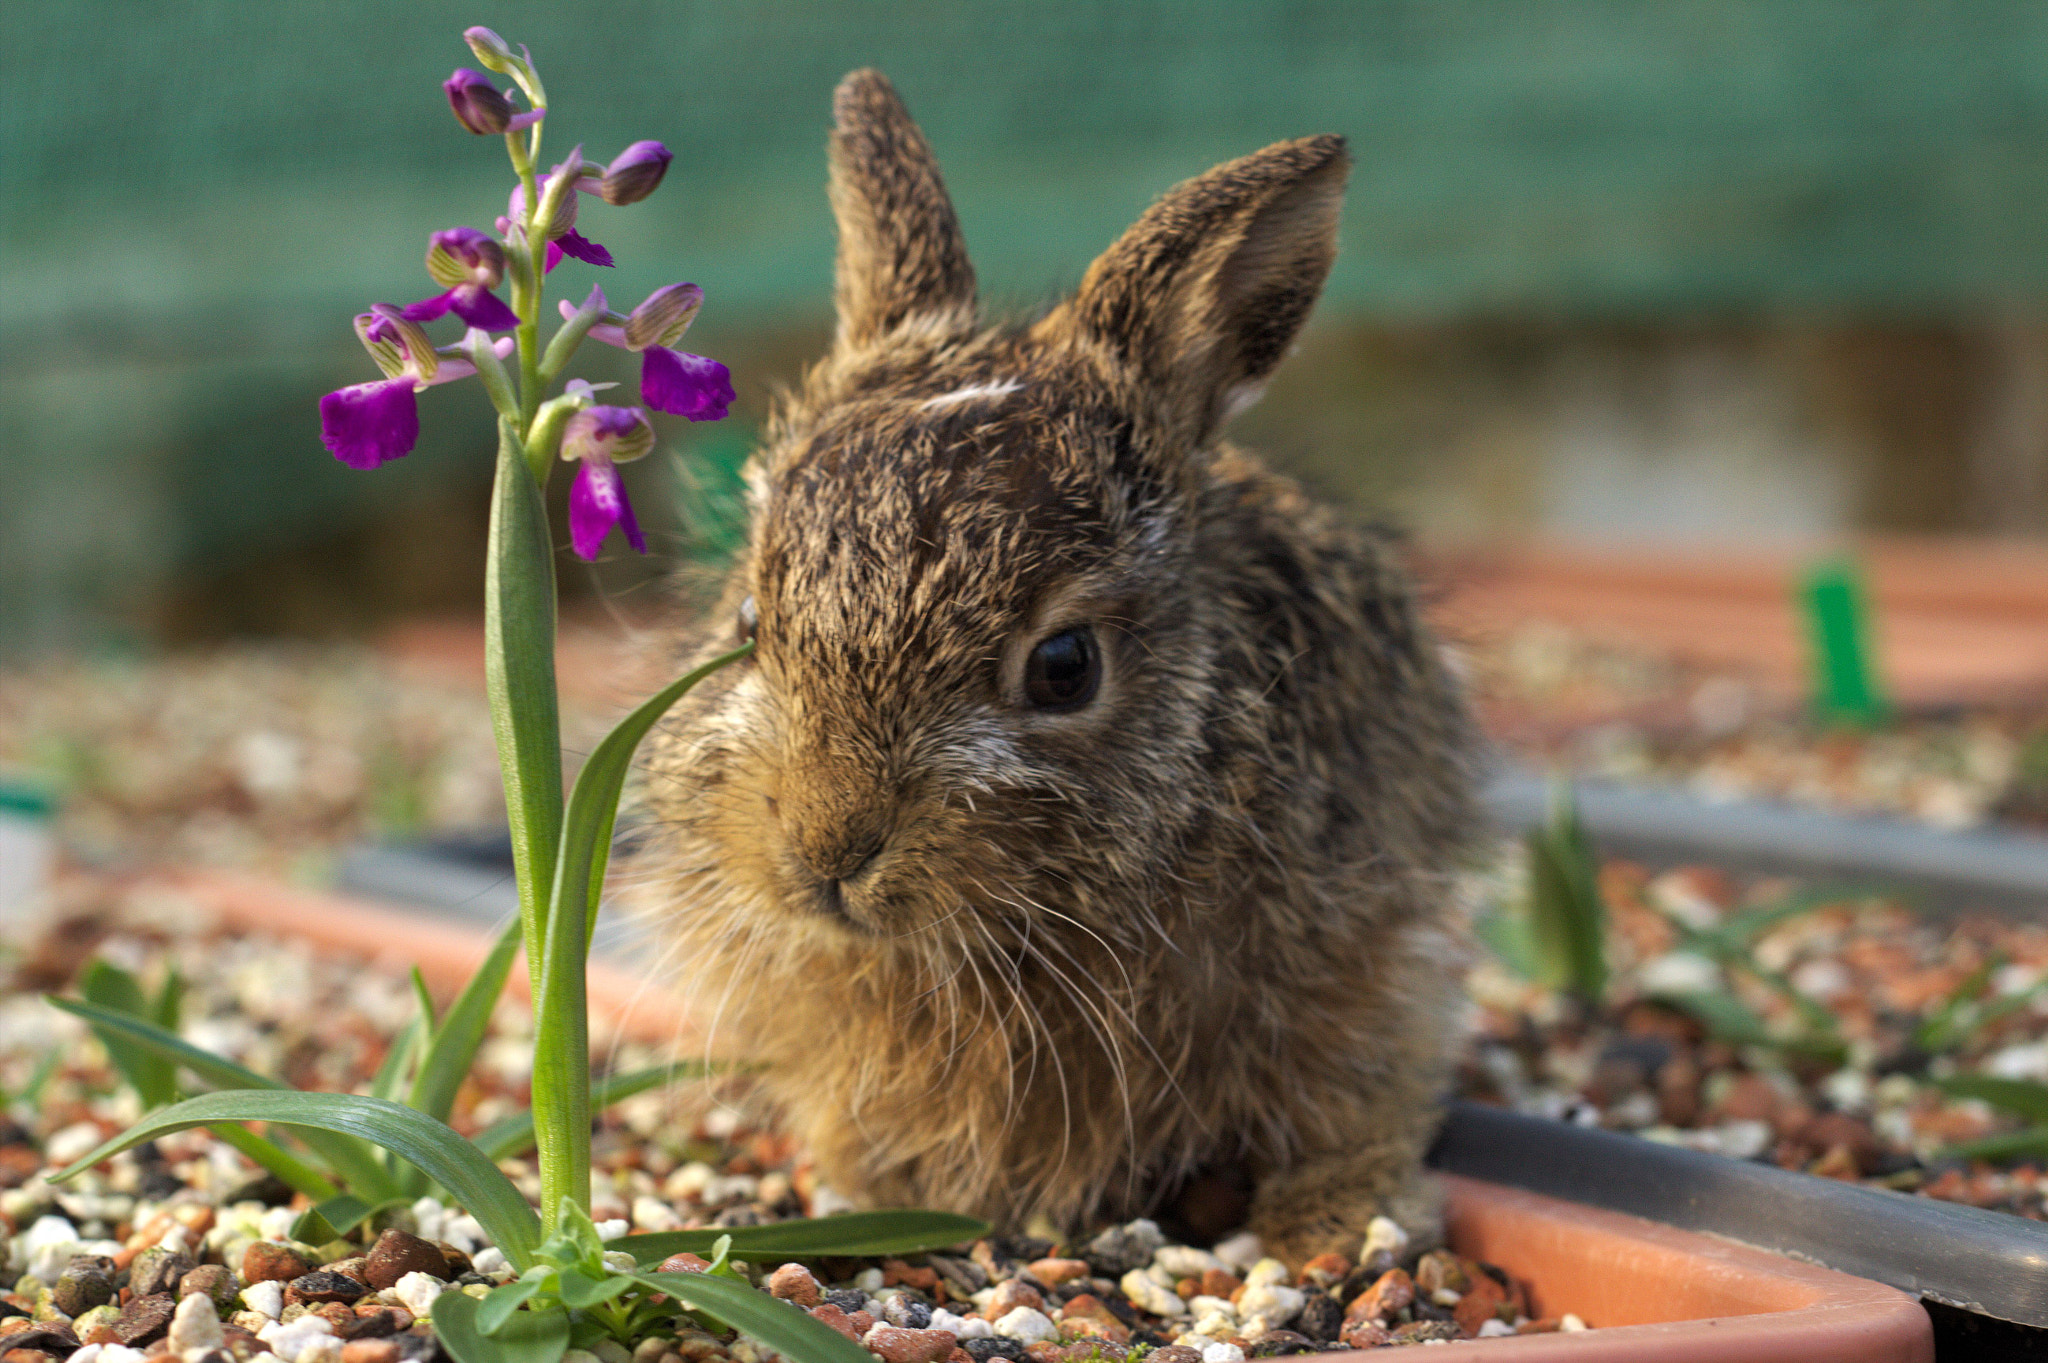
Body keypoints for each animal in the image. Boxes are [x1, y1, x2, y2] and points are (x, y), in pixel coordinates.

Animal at [630, 69, 1482, 1260]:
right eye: (751, 621)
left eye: (1065, 667)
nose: (826, 845)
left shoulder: (1367, 947)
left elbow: (1353, 1101)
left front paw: (1341, 1220)